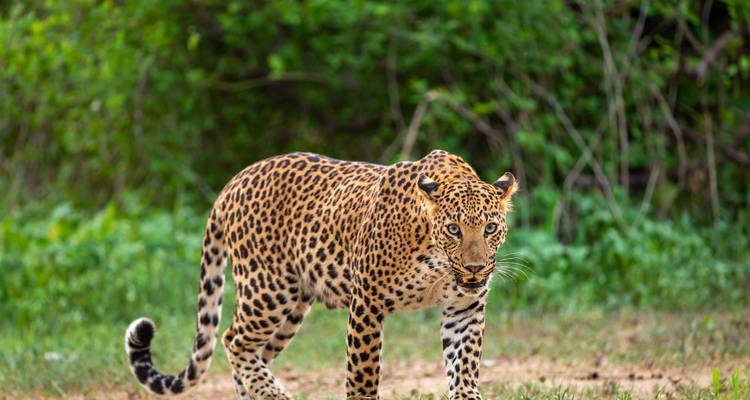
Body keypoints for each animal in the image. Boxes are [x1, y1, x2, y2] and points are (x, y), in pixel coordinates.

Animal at [124, 149, 518, 399]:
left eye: (490, 228)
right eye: (453, 229)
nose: (475, 268)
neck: (436, 259)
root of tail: (232, 183)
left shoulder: (464, 308)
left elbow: (464, 368)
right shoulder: (367, 303)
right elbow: (362, 378)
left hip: (292, 307)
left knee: (251, 355)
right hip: (267, 291)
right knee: (233, 340)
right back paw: (277, 395)